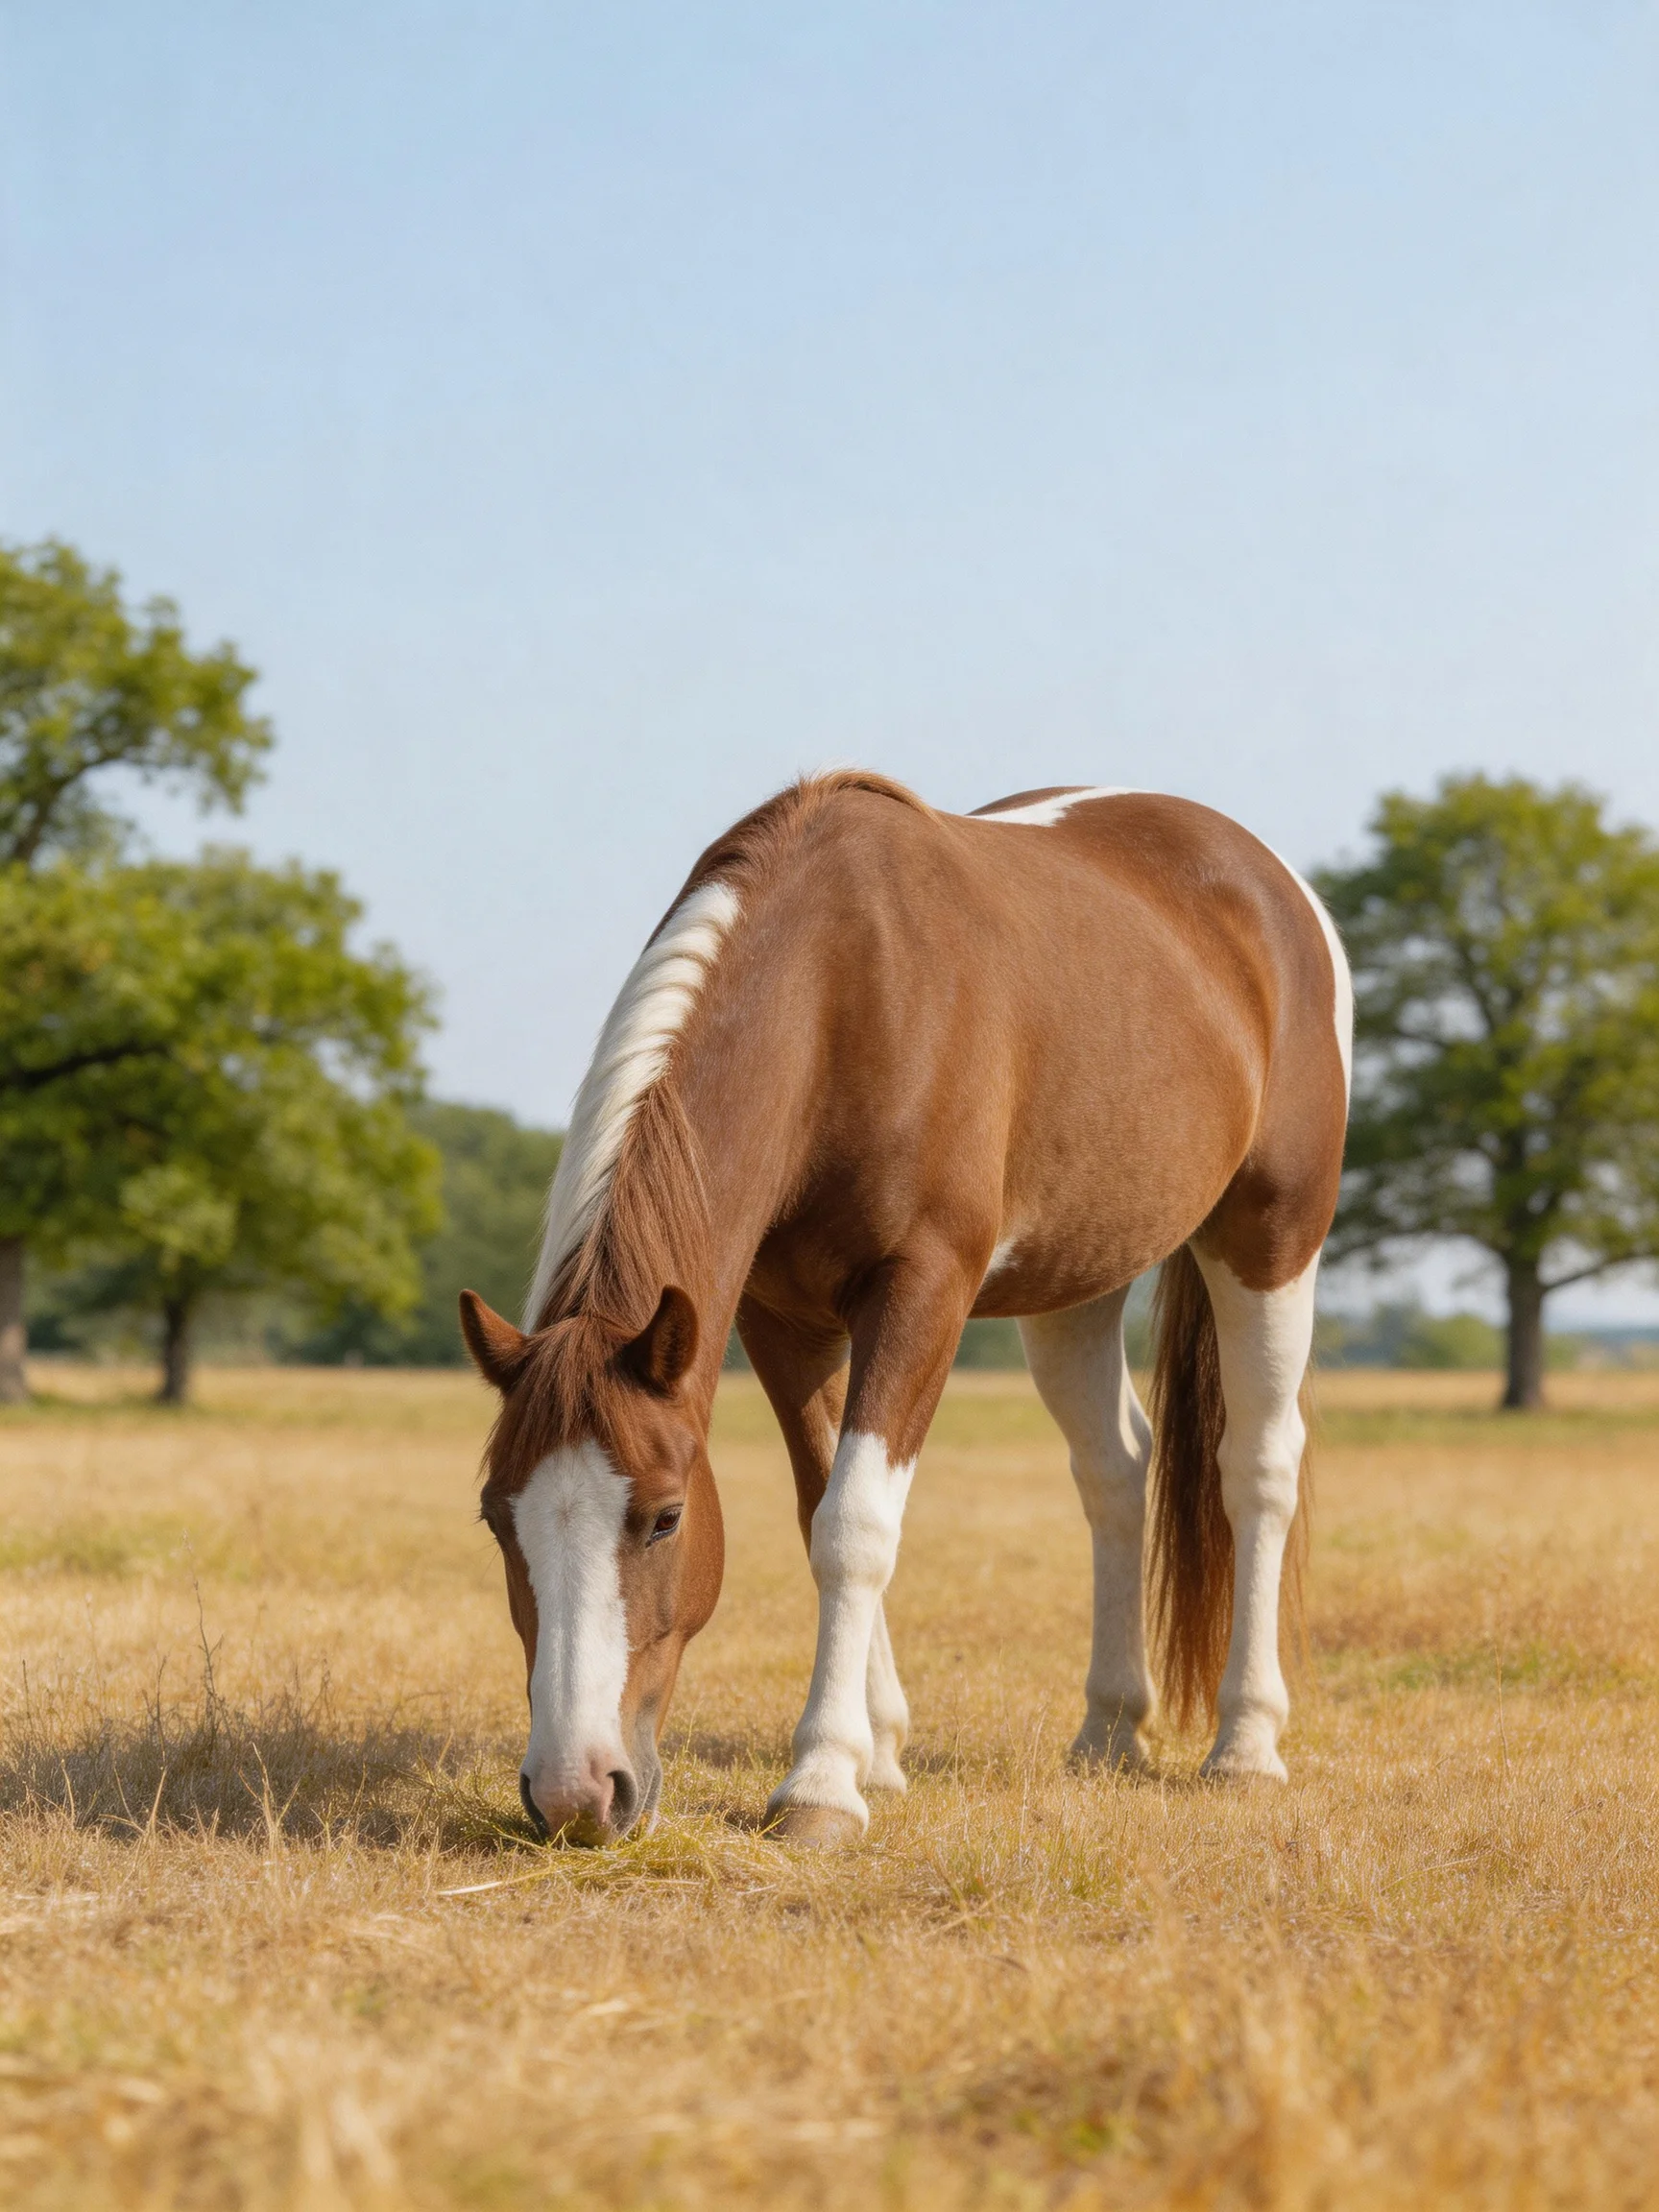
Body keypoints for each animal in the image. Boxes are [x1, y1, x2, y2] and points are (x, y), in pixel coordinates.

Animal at [461, 773, 1352, 1846]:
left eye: (666, 1517)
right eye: (496, 1518)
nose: (575, 1794)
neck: (849, 991)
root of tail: (1270, 884)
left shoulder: (924, 1288)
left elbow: (856, 1525)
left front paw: (820, 1784)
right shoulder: (780, 1319)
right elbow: (821, 1507)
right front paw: (877, 1753)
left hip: (1269, 1239)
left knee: (1255, 1466)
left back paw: (1246, 1747)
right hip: (1077, 1285)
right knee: (1115, 1470)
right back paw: (1109, 1730)